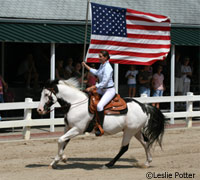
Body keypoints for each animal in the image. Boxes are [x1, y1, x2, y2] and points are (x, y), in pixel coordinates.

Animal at [37, 78, 166, 169]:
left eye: (46, 95)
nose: (39, 110)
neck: (75, 104)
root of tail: (144, 106)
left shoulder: (77, 129)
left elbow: (60, 140)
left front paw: (60, 159)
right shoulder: (68, 127)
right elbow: (63, 141)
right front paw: (57, 160)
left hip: (129, 132)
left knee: (124, 148)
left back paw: (108, 164)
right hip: (136, 131)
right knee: (145, 143)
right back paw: (147, 163)